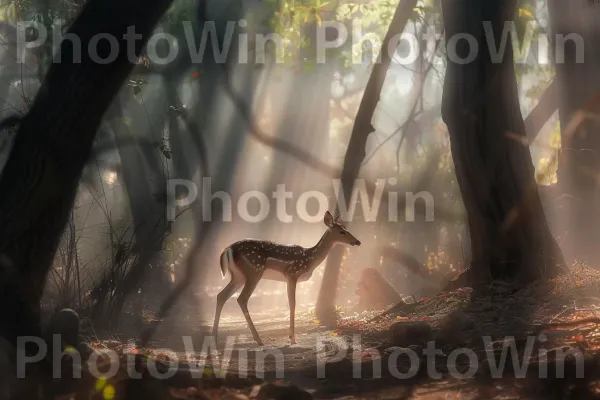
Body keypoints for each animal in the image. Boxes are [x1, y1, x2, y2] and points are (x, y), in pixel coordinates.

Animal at [212, 211, 360, 346]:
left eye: (346, 228)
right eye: (341, 231)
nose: (357, 242)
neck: (310, 259)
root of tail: (227, 250)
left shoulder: (289, 277)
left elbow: (291, 303)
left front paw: (291, 337)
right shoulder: (292, 273)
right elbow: (292, 304)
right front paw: (293, 339)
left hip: (238, 276)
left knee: (221, 295)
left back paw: (214, 336)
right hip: (254, 271)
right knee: (241, 298)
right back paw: (258, 340)